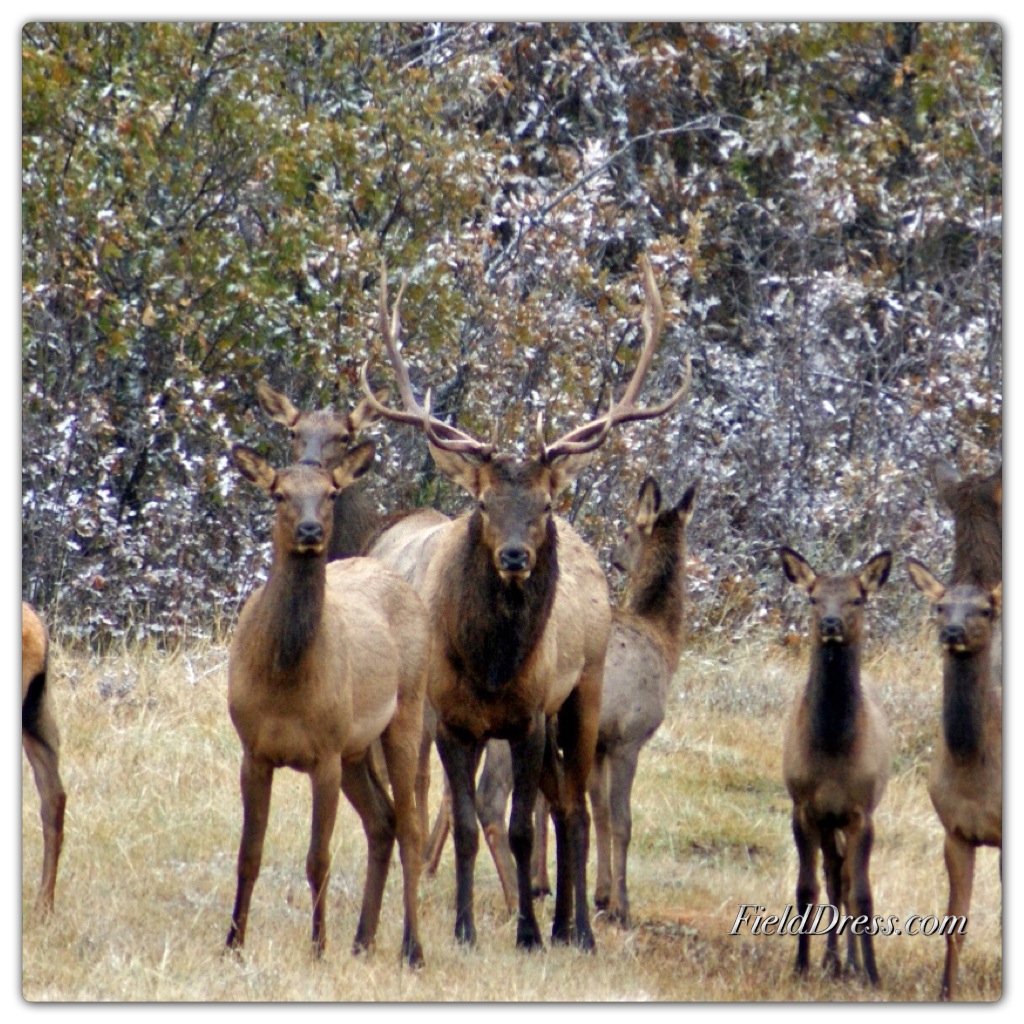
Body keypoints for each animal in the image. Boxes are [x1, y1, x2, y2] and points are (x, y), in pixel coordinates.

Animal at [225, 442, 428, 966]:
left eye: (331, 493)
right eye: (278, 493)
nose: (311, 530)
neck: (286, 680)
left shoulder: (325, 754)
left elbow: (319, 858)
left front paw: (317, 946)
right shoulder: (253, 751)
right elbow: (248, 854)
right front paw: (233, 942)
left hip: (405, 712)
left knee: (410, 827)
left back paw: (412, 948)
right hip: (356, 750)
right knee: (383, 821)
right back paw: (362, 939)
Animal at [359, 254, 690, 951]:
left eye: (543, 504)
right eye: (483, 502)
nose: (514, 556)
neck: (492, 668)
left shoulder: (532, 715)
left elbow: (525, 825)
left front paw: (531, 933)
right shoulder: (452, 720)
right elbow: (463, 825)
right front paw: (463, 928)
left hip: (583, 693)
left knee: (573, 810)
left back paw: (577, 928)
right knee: (559, 805)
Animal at [778, 547, 893, 987]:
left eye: (857, 599)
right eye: (813, 598)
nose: (830, 623)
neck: (831, 750)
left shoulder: (862, 811)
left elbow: (862, 893)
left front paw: (873, 974)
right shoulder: (804, 808)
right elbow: (806, 889)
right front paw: (801, 965)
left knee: (845, 880)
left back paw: (852, 964)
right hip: (828, 822)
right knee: (832, 877)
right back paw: (833, 961)